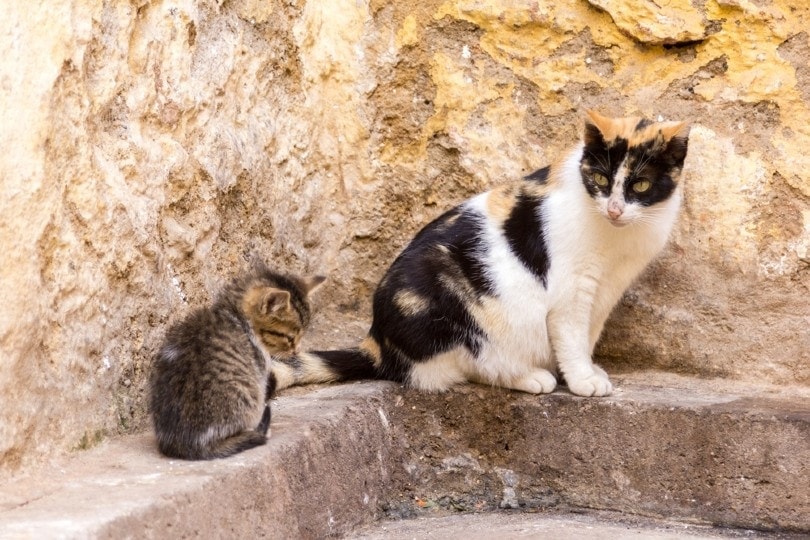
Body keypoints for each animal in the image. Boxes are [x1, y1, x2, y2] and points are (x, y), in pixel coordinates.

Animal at [274, 110, 688, 396]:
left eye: (641, 185)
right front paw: (582, 379)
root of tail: (377, 341)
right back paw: (531, 377)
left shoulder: (607, 289)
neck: (619, 239)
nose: (615, 210)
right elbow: (571, 334)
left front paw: (586, 371)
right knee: (470, 364)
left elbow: (588, 333)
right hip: (444, 296)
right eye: (600, 179)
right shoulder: (571, 290)